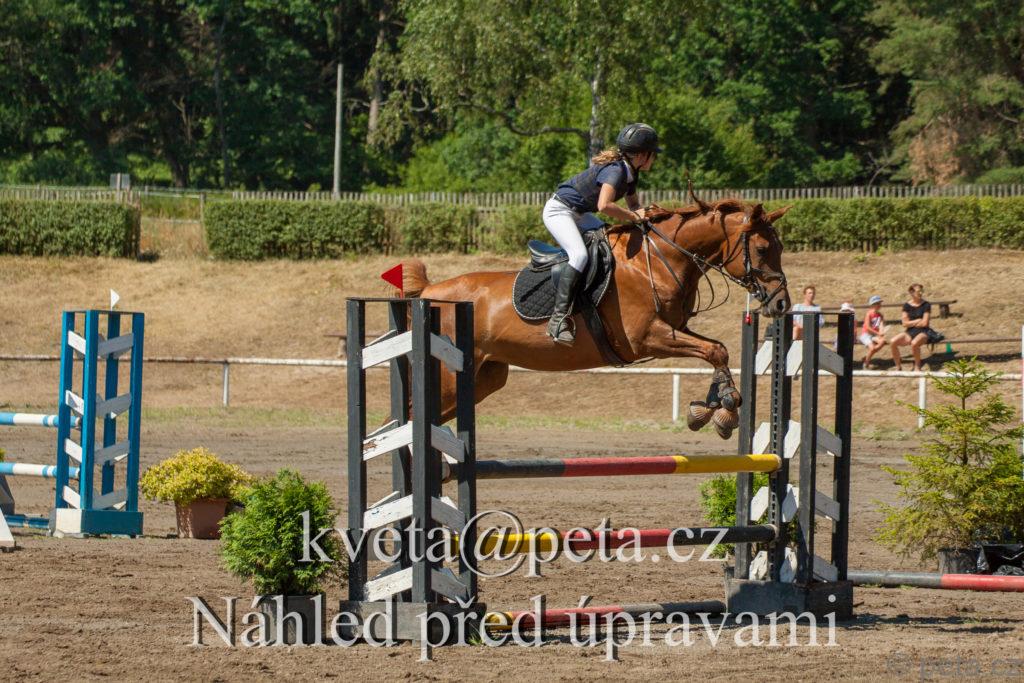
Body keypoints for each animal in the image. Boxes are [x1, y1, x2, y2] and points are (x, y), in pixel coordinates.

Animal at [401, 195, 791, 438]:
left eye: (780, 247)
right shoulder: (647, 338)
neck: (657, 260)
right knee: (408, 417)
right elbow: (714, 350)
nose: (782, 305)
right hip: (449, 378)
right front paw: (723, 409)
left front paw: (714, 405)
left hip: (484, 378)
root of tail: (429, 291)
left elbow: (716, 348)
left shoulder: (676, 329)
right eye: (761, 249)